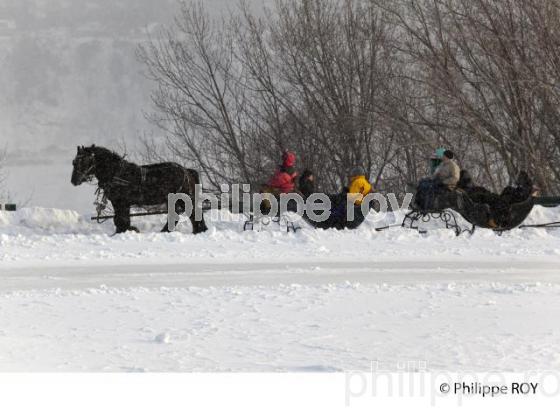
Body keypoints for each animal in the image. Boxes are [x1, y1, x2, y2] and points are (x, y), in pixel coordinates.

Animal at [71, 145, 208, 234]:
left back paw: (197, 230)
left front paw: (128, 230)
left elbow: (121, 219)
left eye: (84, 160)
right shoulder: (121, 204)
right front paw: (126, 230)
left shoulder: (121, 203)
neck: (117, 173)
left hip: (182, 199)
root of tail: (186, 171)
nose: (74, 181)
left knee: (192, 214)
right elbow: (120, 219)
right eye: (74, 162)